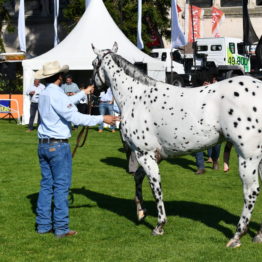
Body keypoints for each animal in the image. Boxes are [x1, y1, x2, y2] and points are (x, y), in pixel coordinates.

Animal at [91, 42, 260, 248]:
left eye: (93, 64)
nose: (92, 89)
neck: (136, 96)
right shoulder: (155, 155)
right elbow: (138, 178)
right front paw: (141, 212)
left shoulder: (144, 153)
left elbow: (155, 187)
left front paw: (159, 226)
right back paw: (257, 235)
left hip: (248, 157)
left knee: (251, 191)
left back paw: (237, 236)